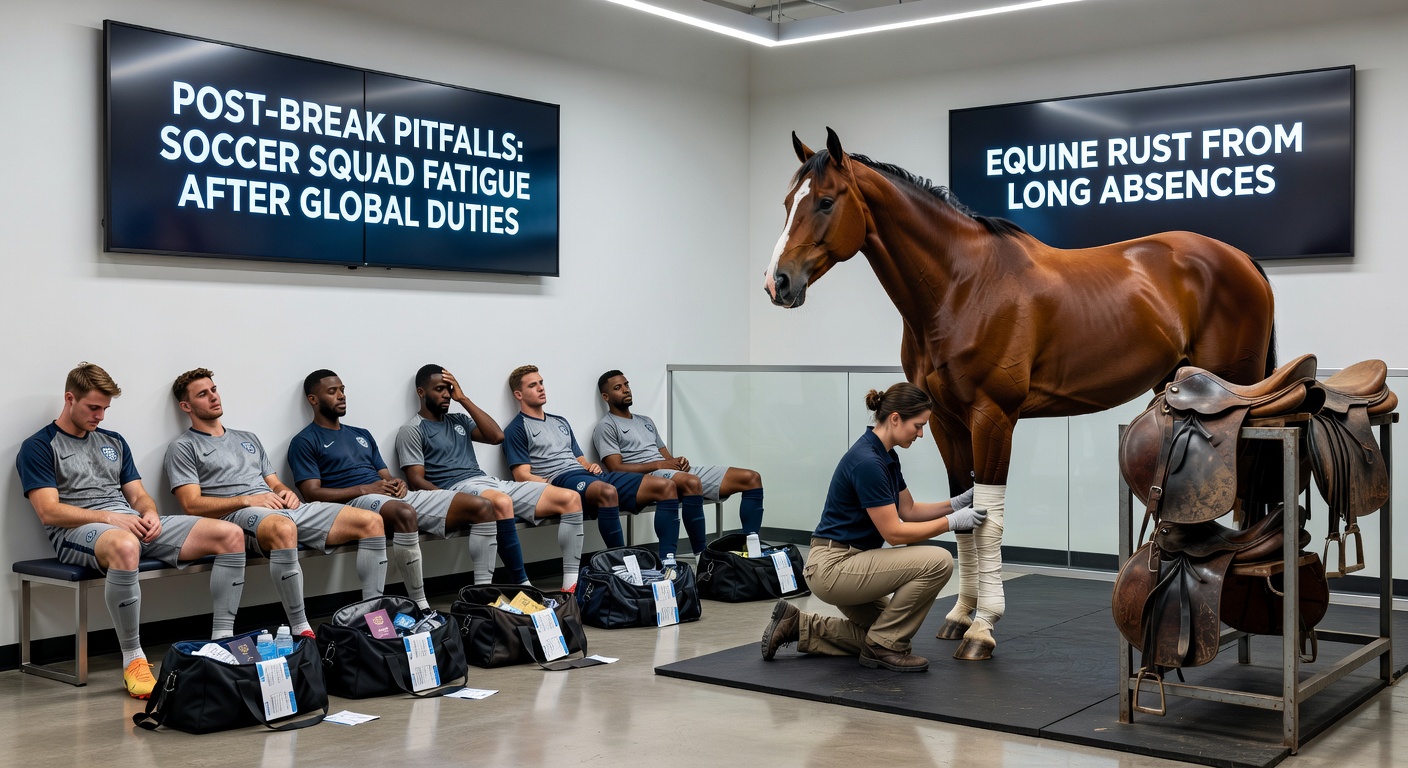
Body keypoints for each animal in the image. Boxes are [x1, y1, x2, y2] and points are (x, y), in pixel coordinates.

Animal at [764, 128, 1276, 661]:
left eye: (825, 201)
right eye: (787, 202)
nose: (777, 281)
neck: (961, 286)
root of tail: (1241, 260)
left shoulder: (993, 418)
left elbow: (989, 520)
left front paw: (983, 628)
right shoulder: (946, 422)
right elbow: (963, 513)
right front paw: (960, 615)